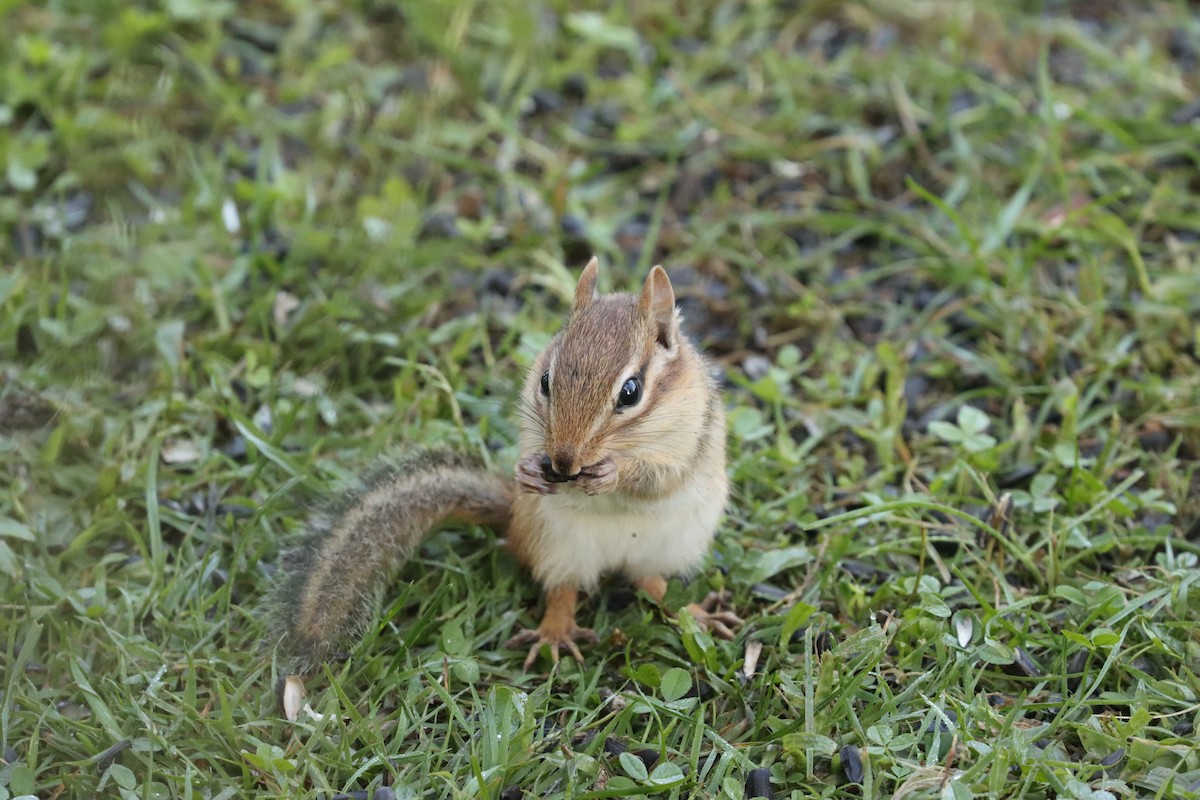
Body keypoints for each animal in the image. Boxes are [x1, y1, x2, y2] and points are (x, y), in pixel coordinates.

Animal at [268, 257, 741, 675]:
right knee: (564, 588)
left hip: (671, 544)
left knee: (652, 584)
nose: (563, 461)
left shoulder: (690, 440)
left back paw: (695, 615)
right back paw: (554, 634)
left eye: (631, 391)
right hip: (556, 543)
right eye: (546, 381)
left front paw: (613, 474)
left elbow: (657, 478)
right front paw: (527, 470)